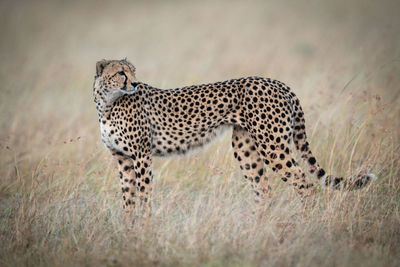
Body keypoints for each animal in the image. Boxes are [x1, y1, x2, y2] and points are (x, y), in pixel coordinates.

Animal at [93, 58, 376, 218]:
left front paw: (144, 229)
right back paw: (254, 227)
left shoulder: (142, 155)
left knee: (304, 185)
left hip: (272, 146)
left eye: (132, 71)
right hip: (245, 148)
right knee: (264, 190)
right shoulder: (123, 159)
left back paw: (304, 225)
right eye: (121, 72)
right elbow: (128, 198)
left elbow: (143, 195)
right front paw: (128, 230)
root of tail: (276, 82)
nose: (134, 83)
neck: (107, 103)